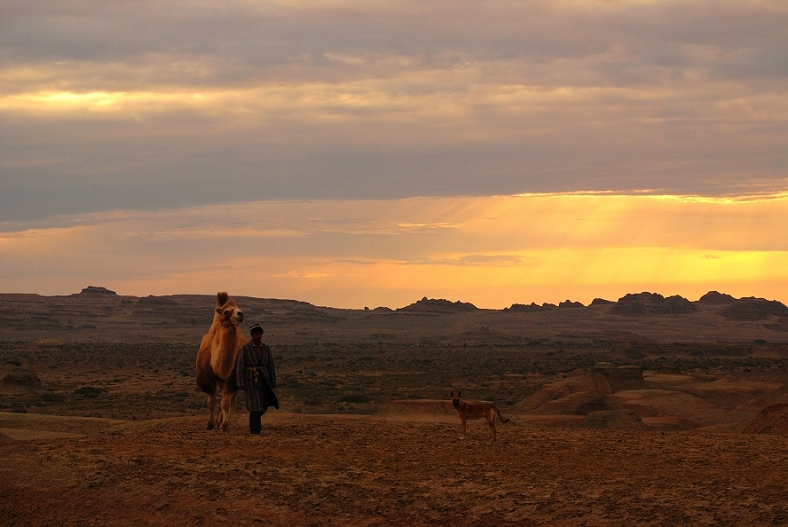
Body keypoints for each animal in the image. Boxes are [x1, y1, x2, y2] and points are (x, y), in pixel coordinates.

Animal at [195, 292, 248, 434]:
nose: (240, 314)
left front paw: (224, 425)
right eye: (226, 312)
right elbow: (211, 402)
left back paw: (226, 421)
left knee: (233, 401)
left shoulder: (232, 378)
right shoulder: (205, 377)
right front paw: (210, 424)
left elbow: (226, 402)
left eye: (238, 307)